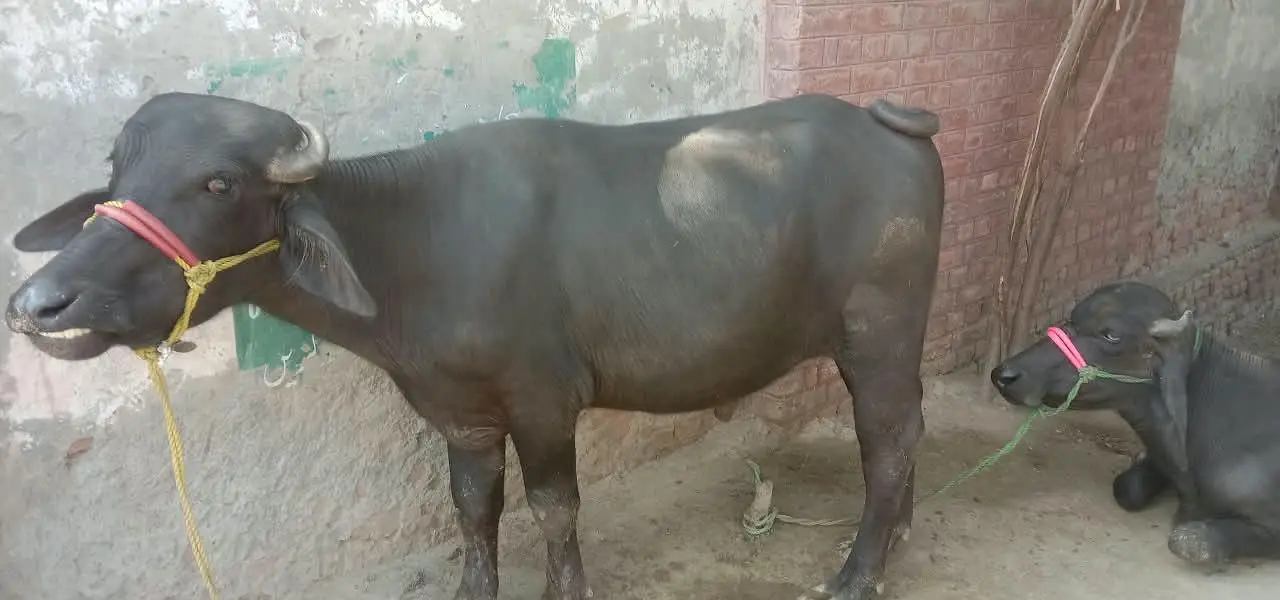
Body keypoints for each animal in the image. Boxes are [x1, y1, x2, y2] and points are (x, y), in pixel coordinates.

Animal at [5, 92, 944, 599]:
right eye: (118, 171)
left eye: (217, 182)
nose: (40, 303)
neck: (416, 247)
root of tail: (887, 123)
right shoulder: (461, 414)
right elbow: (473, 508)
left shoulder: (543, 400)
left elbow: (554, 509)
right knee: (909, 436)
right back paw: (898, 537)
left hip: (881, 335)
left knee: (890, 440)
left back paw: (861, 568)